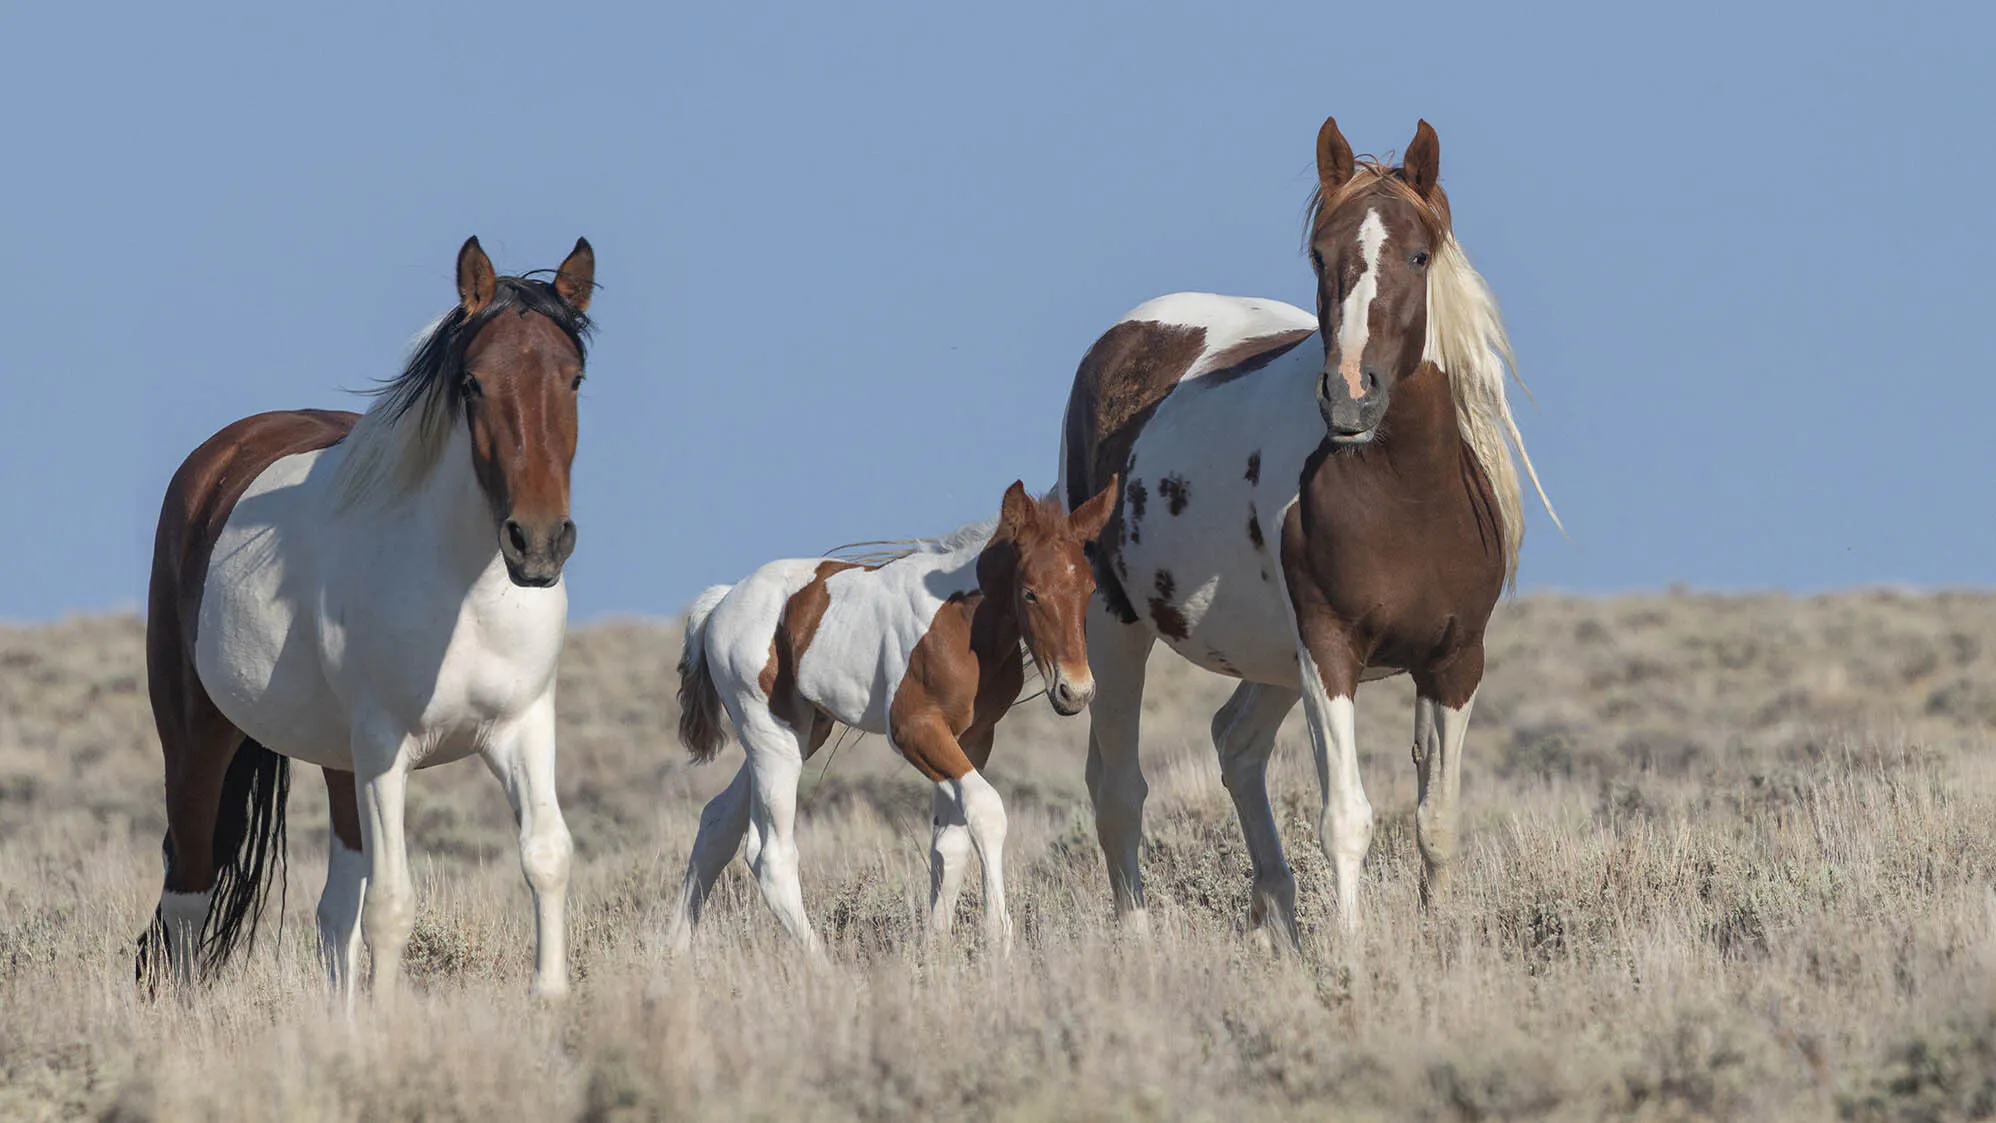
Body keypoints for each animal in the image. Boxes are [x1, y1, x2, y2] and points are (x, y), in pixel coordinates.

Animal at [136, 236, 597, 1001]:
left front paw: (551, 998)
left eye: (575, 379)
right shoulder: (386, 747)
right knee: (188, 895)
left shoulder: (523, 728)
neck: (464, 594)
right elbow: (392, 903)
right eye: (472, 383)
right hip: (199, 738)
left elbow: (546, 856)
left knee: (330, 916)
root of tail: (216, 462)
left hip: (339, 761)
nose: (537, 542)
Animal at [668, 479, 1117, 955]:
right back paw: (820, 963)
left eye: (1089, 590)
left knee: (717, 822)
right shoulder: (913, 729)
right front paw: (998, 936)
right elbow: (987, 810)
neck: (960, 622)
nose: (1075, 691)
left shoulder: (973, 737)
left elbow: (949, 843)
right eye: (1030, 591)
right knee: (769, 854)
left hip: (804, 732)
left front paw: (935, 950)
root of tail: (722, 602)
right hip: (771, 736)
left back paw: (673, 947)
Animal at [1057, 116, 1558, 941]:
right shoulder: (1329, 650)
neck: (1406, 496)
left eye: (1419, 255)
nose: (1351, 395)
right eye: (1322, 253)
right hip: (1115, 625)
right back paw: (1139, 941)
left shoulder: (1456, 663)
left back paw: (1278, 916)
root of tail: (1130, 333)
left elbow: (1437, 820)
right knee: (1120, 794)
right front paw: (1349, 955)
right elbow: (1346, 818)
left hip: (1268, 658)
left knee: (1236, 745)